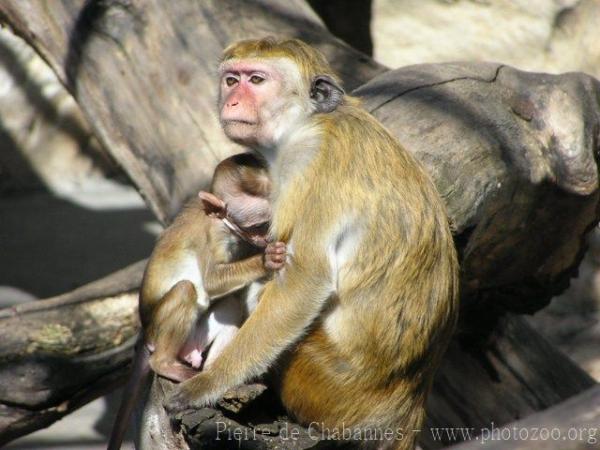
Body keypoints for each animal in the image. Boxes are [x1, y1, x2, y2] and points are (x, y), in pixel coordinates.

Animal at [106, 152, 284, 450]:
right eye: (258, 225)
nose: (266, 237)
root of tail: (145, 332)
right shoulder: (215, 237)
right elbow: (211, 281)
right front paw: (266, 260)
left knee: (230, 306)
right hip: (161, 332)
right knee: (185, 291)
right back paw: (165, 364)